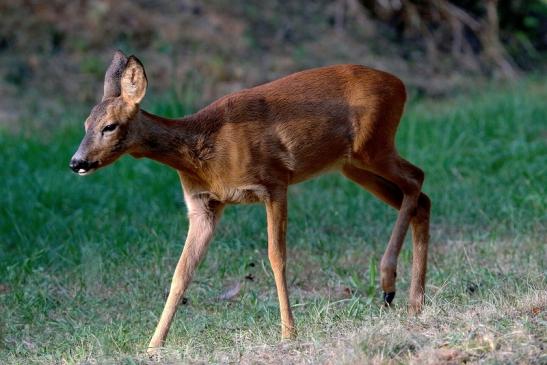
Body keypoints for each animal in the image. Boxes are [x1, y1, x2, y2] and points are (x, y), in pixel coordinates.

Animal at [70, 49, 432, 352]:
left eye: (109, 126)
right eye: (85, 124)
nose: (77, 162)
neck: (203, 151)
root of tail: (400, 85)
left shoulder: (274, 181)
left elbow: (276, 256)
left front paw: (288, 332)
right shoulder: (203, 206)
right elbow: (181, 272)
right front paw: (153, 344)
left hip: (373, 144)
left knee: (417, 178)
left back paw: (389, 281)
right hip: (352, 164)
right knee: (420, 198)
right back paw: (415, 301)